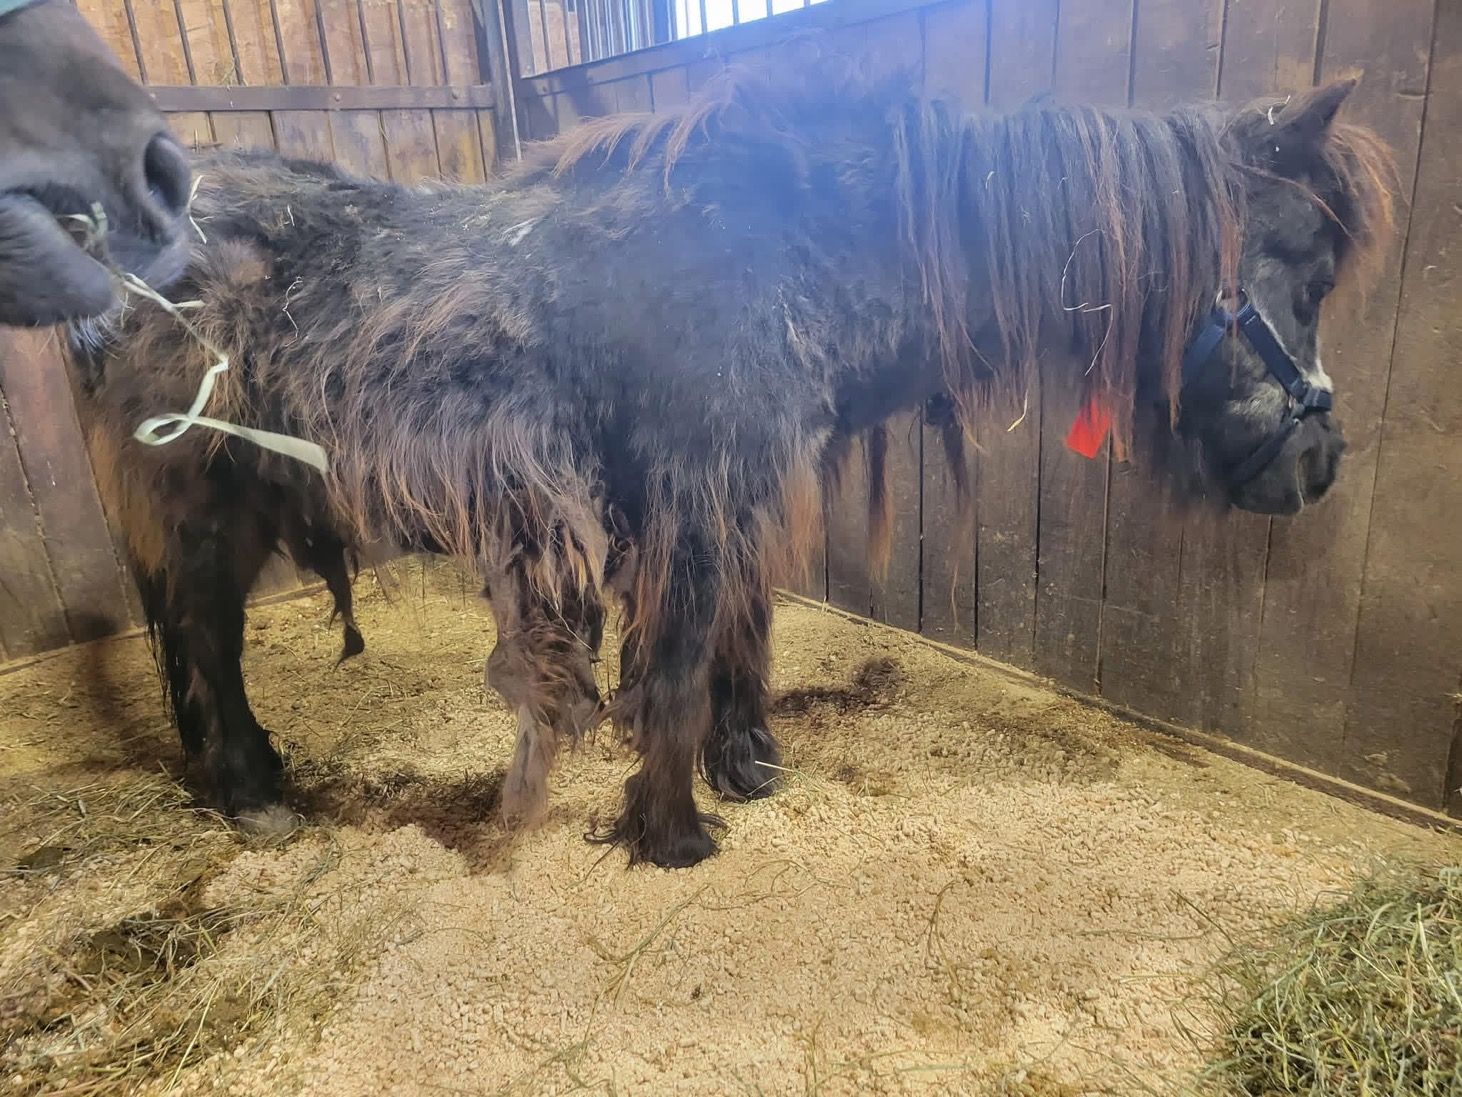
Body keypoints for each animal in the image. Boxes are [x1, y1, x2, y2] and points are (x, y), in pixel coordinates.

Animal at [68, 61, 1394, 868]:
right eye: (1308, 265)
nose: (1320, 465)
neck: (789, 247)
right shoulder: (693, 499)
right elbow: (674, 657)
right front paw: (670, 827)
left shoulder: (750, 485)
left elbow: (741, 633)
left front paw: (746, 762)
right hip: (202, 511)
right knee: (203, 639)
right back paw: (253, 792)